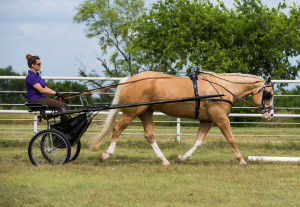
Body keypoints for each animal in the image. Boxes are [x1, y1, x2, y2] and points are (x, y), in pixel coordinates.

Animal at [88, 71, 274, 167]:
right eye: (269, 94)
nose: (270, 114)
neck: (222, 89)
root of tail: (130, 79)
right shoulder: (220, 118)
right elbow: (231, 138)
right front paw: (241, 160)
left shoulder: (207, 121)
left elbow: (199, 142)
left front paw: (182, 158)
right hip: (130, 113)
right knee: (117, 130)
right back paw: (106, 155)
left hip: (146, 112)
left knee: (150, 136)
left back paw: (164, 160)